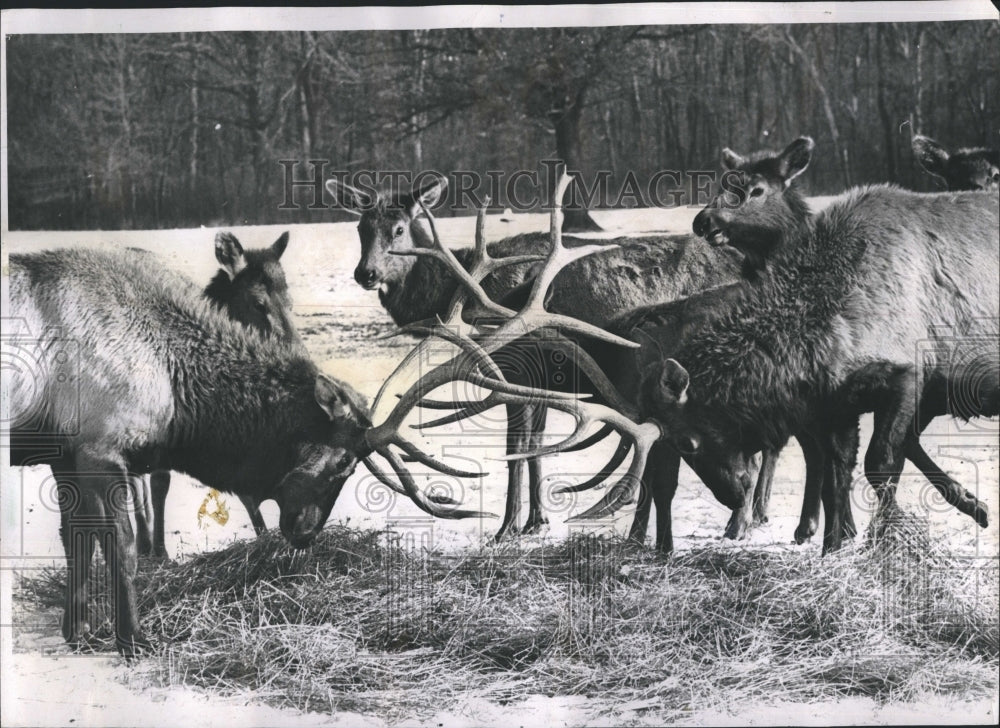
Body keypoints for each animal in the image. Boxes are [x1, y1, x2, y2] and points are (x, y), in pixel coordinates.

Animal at [136, 232, 300, 556]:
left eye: (289, 298)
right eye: (258, 303)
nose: (297, 350)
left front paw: (265, 536)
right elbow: (160, 481)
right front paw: (161, 554)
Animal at [330, 173, 780, 544]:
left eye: (399, 229)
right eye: (360, 227)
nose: (366, 273)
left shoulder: (516, 369)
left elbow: (516, 447)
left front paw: (507, 527)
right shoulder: (539, 379)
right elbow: (536, 445)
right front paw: (536, 521)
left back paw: (740, 521)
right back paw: (755, 514)